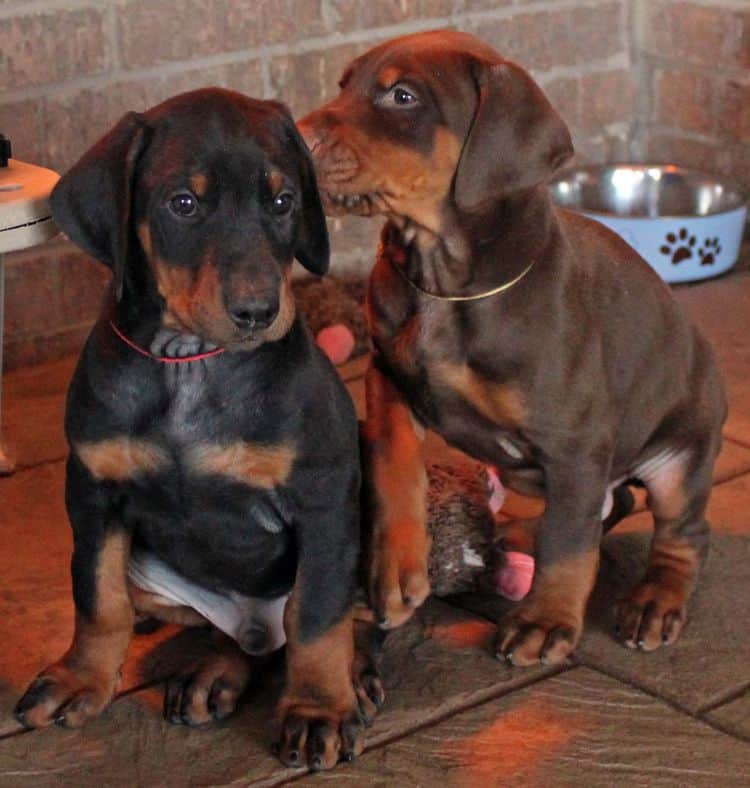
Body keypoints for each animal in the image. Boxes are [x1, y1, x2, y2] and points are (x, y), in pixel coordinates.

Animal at [16, 87, 382, 768]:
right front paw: (82, 678)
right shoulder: (92, 491)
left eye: (282, 201)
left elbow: (318, 614)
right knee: (247, 641)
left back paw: (358, 675)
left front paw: (318, 707)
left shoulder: (321, 497)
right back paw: (214, 674)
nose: (260, 311)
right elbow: (96, 597)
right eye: (183, 203)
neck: (188, 362)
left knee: (334, 620)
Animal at [300, 32, 728, 664]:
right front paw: (396, 570)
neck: (443, 282)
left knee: (672, 531)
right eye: (343, 85)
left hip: (679, 453)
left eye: (403, 97)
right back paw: (517, 535)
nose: (297, 136)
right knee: (604, 507)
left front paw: (545, 621)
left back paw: (654, 601)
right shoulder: (387, 377)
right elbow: (393, 465)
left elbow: (570, 548)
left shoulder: (575, 440)